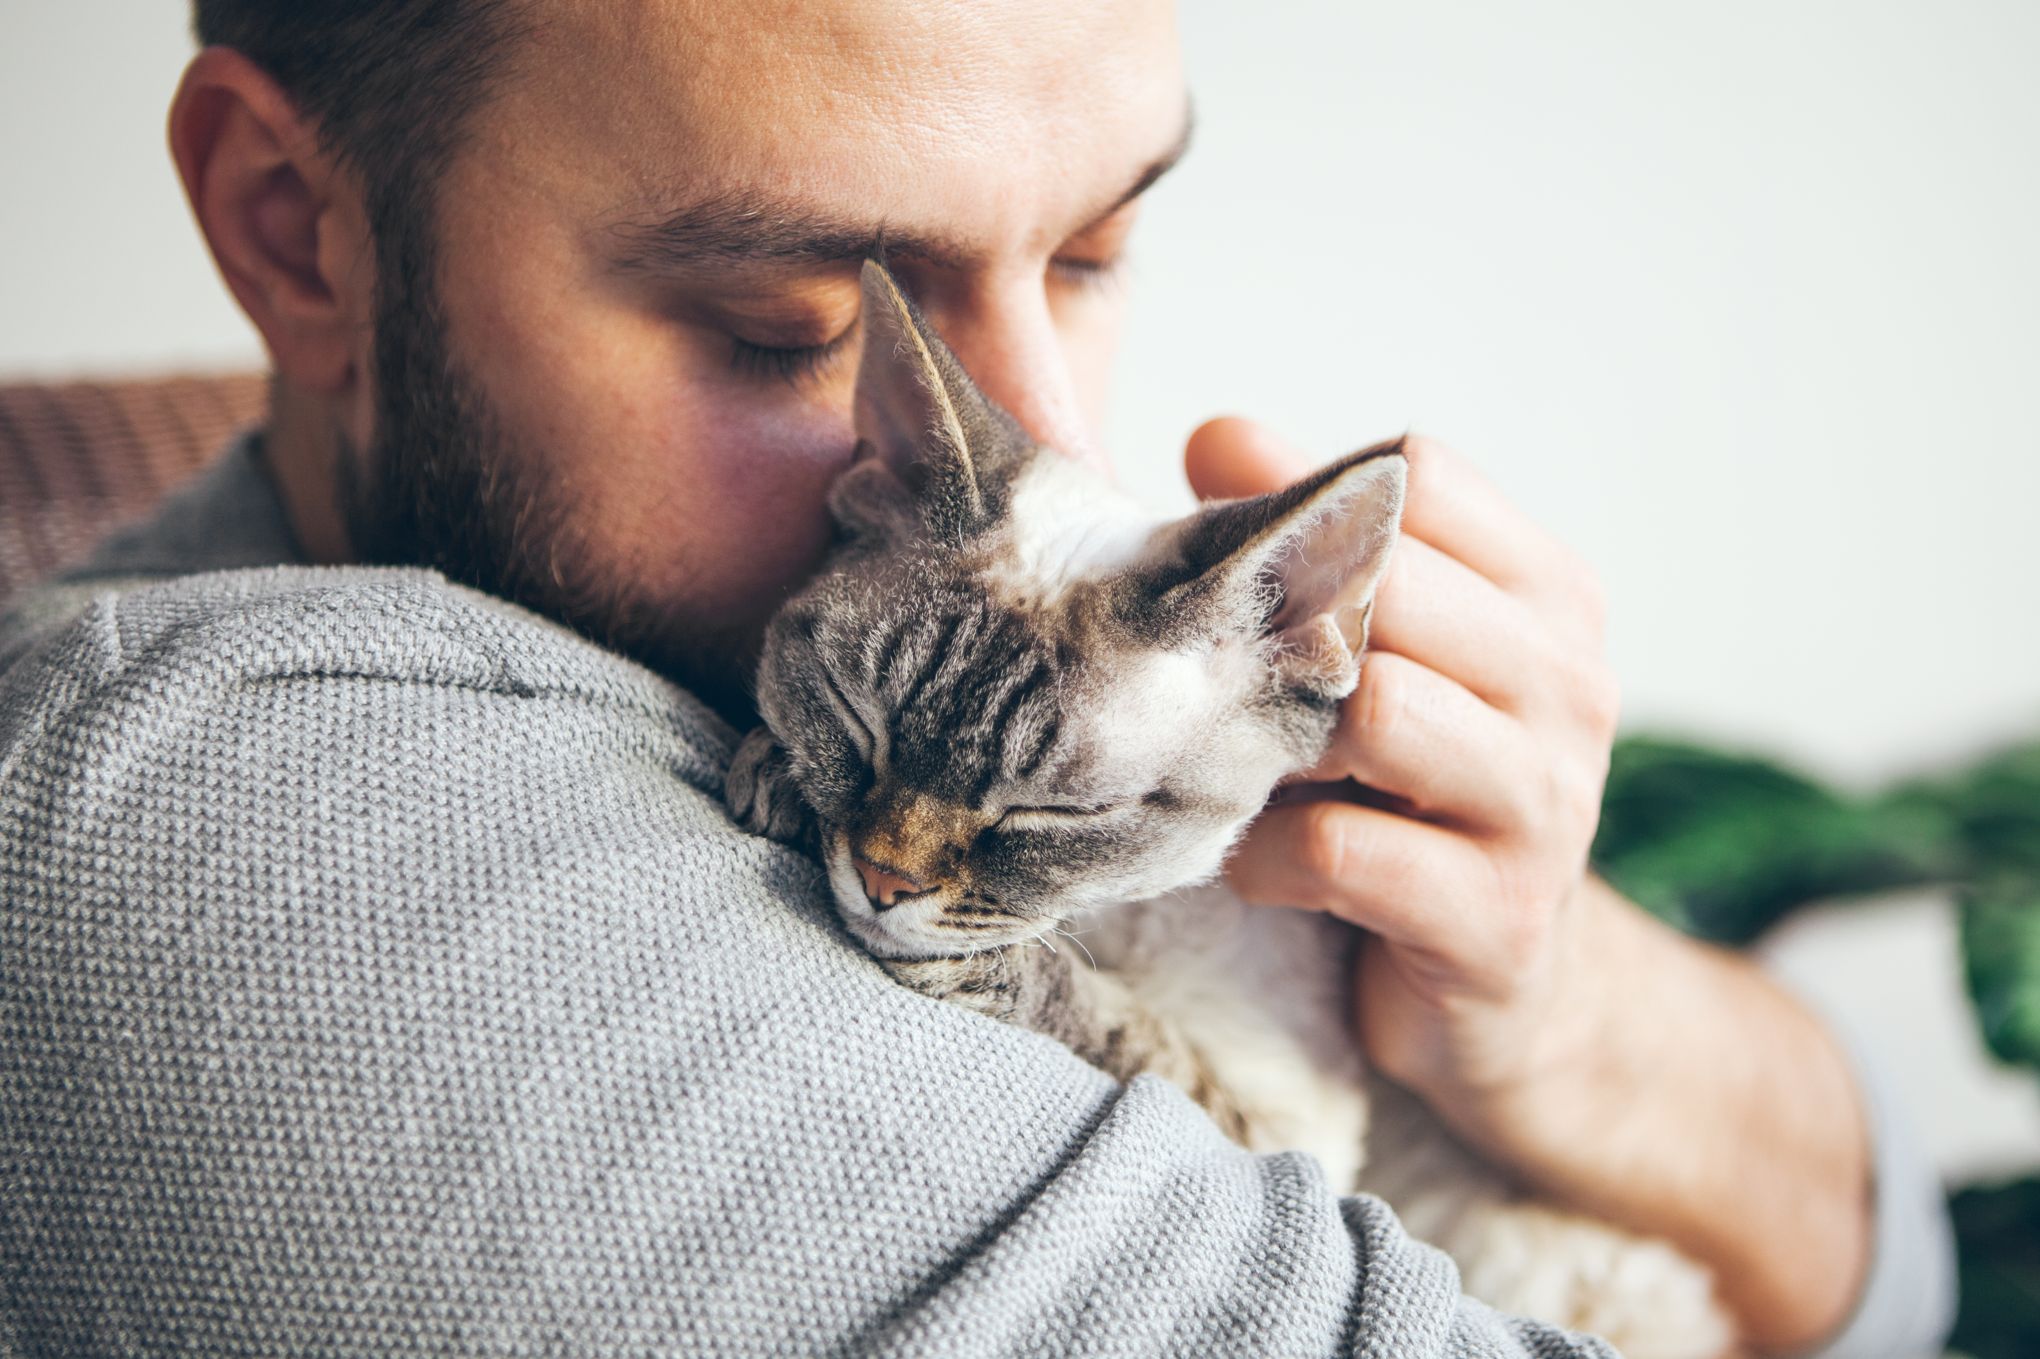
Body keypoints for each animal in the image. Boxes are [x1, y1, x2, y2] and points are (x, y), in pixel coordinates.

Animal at [726, 261, 1729, 1354]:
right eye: (854, 718)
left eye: (1056, 814)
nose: (881, 880)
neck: (1120, 917)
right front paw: (777, 775)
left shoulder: (1291, 1132)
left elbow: (1126, 1032)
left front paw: (994, 966)